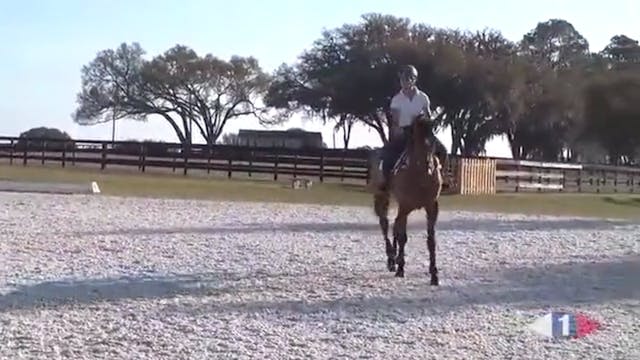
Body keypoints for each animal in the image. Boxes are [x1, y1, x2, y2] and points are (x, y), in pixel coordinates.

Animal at [370, 114, 440, 286]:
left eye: (433, 142)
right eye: (417, 142)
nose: (429, 167)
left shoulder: (432, 207)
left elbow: (431, 241)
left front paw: (434, 275)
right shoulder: (405, 206)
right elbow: (403, 237)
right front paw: (401, 269)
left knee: (394, 225)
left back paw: (393, 259)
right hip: (382, 197)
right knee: (385, 224)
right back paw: (391, 260)